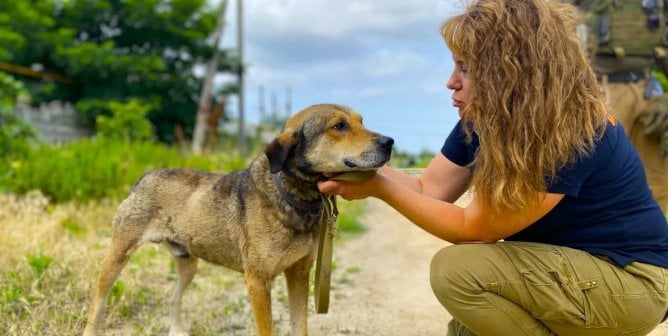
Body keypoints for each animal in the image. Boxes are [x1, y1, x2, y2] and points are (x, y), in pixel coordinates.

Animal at [83, 105, 396, 336]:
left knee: (174, 297)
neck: (292, 194)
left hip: (188, 263)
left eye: (361, 121)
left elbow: (301, 326)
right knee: (97, 303)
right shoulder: (258, 280)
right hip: (117, 255)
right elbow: (266, 330)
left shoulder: (298, 273)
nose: (390, 142)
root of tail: (145, 176)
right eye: (339, 126)